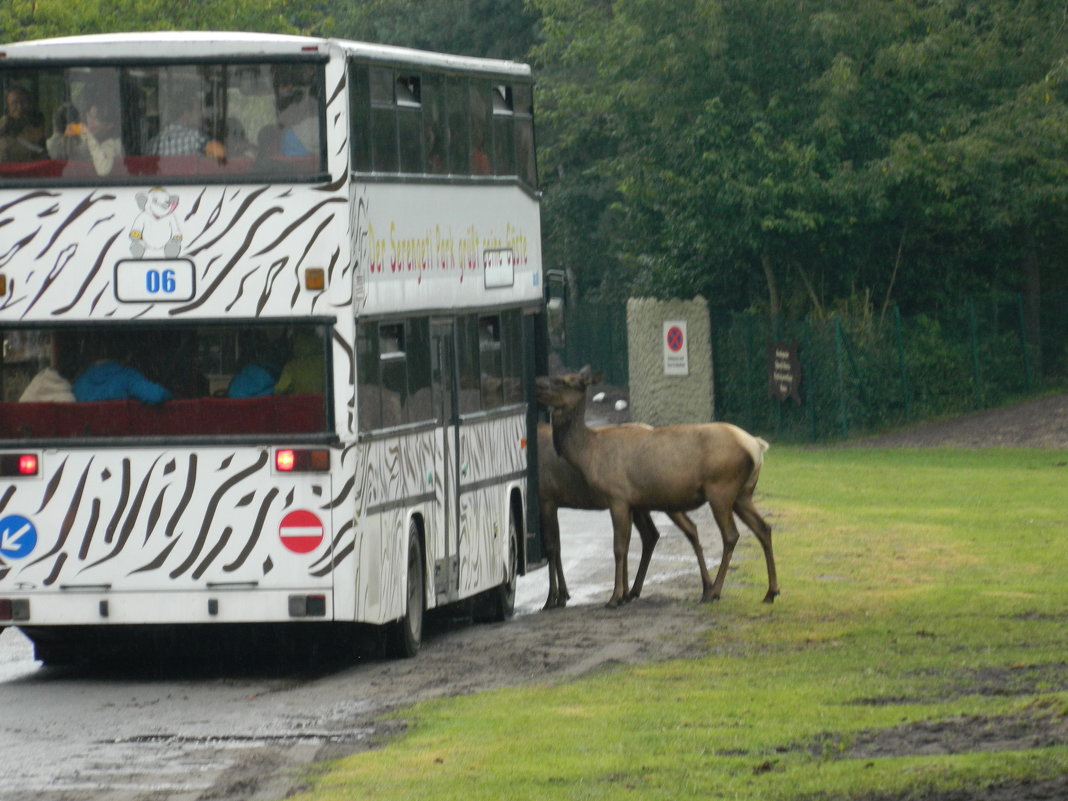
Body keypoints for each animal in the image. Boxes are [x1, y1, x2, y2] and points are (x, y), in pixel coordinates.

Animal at [538, 420, 704, 606]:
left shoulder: (546, 498)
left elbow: (551, 547)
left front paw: (551, 598)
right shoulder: (554, 502)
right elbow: (558, 546)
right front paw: (563, 594)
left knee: (683, 529)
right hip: (639, 504)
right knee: (650, 534)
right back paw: (631, 591)